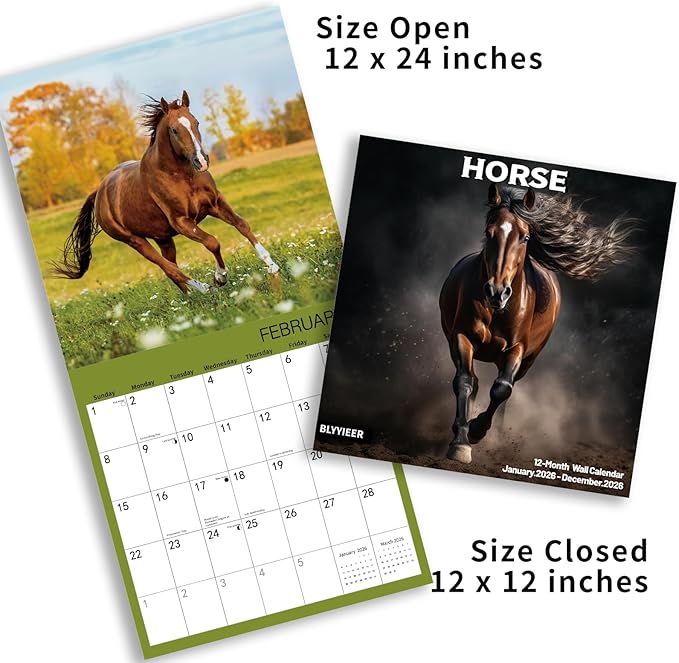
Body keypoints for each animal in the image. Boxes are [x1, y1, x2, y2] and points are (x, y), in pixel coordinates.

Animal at [52, 90, 279, 293]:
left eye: (196, 122)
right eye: (174, 130)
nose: (202, 161)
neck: (182, 175)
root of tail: (98, 193)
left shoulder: (215, 203)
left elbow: (242, 224)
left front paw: (272, 266)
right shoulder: (182, 222)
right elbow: (212, 242)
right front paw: (219, 277)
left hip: (162, 238)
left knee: (171, 267)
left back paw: (191, 299)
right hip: (135, 241)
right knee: (169, 268)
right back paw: (205, 289)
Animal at [439, 183, 636, 464]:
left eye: (524, 238)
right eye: (488, 233)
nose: (496, 292)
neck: (498, 311)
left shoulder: (517, 350)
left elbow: (501, 389)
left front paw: (477, 431)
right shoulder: (461, 336)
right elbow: (465, 381)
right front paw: (460, 443)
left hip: (527, 360)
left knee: (504, 390)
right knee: (474, 382)